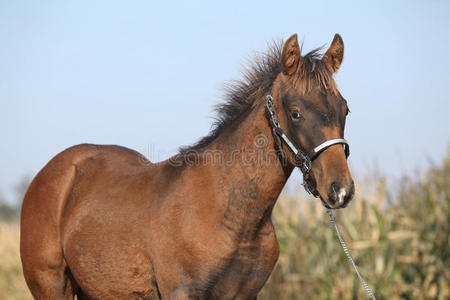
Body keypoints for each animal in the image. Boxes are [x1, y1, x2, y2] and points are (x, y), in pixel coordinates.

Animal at [20, 31, 352, 298]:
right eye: (295, 112)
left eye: (345, 109)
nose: (341, 190)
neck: (233, 215)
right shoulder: (182, 292)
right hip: (52, 287)